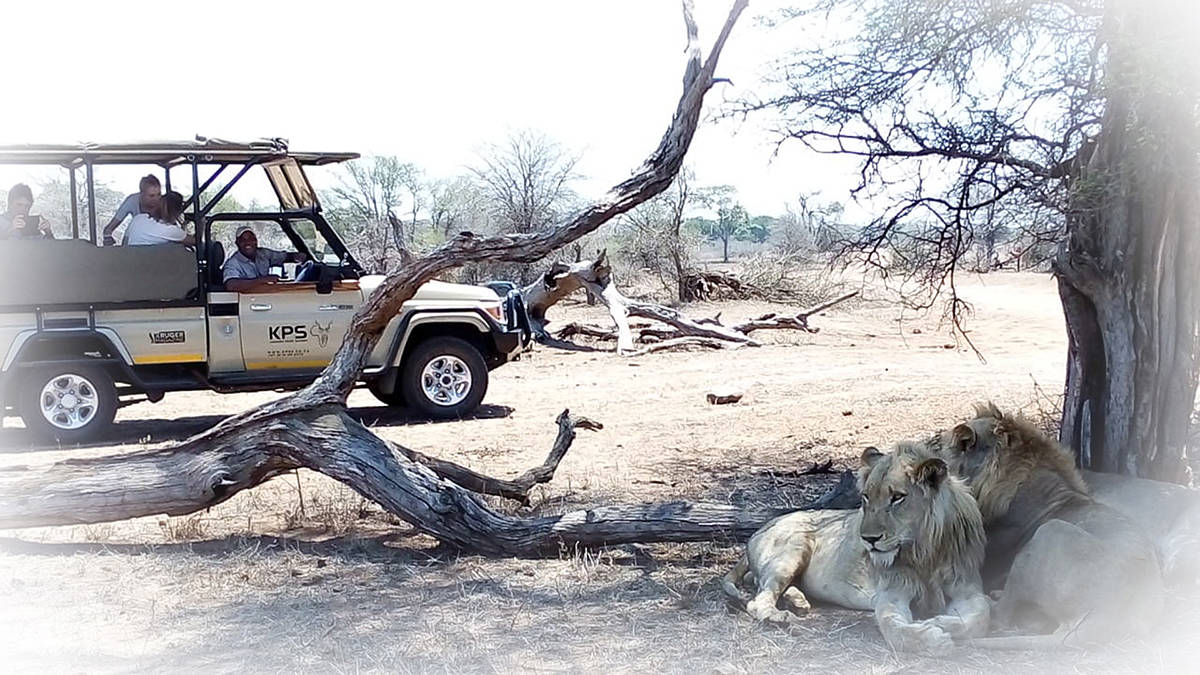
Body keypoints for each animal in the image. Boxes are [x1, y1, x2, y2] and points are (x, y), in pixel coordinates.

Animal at [721, 441, 990, 653]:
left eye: (897, 497)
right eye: (866, 496)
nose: (868, 539)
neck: (923, 552)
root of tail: (760, 528)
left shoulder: (967, 589)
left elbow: (981, 615)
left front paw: (940, 622)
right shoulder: (892, 593)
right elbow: (893, 628)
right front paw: (930, 637)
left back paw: (797, 601)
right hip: (792, 549)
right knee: (759, 597)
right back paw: (779, 616)